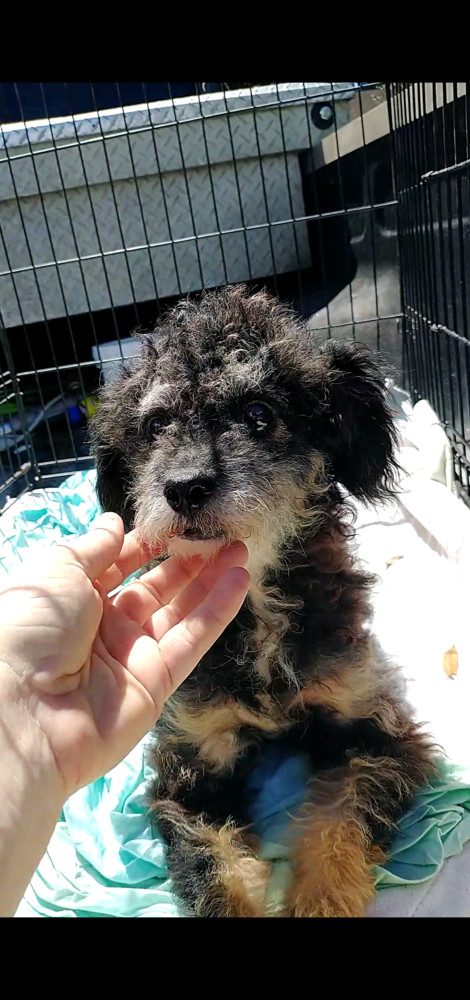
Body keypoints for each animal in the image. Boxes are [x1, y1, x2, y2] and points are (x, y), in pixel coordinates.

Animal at [92, 286, 436, 916]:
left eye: (258, 414)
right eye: (154, 425)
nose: (184, 487)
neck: (255, 604)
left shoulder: (377, 728)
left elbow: (339, 819)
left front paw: (320, 898)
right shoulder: (191, 770)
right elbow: (213, 866)